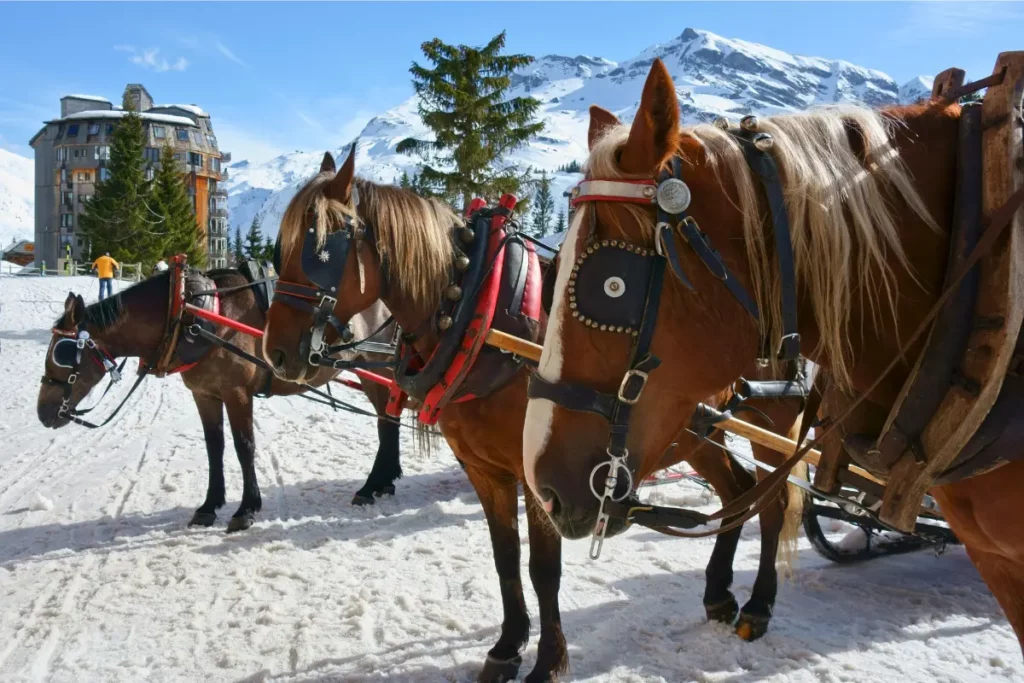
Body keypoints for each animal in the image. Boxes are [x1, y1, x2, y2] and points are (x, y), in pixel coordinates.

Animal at [37, 266, 403, 532]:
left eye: (63, 352)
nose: (43, 412)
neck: (191, 315)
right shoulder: (205, 394)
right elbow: (215, 447)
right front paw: (209, 506)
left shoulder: (237, 393)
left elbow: (244, 446)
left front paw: (247, 508)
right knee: (390, 420)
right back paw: (386, 480)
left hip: (376, 367)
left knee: (387, 422)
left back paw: (371, 485)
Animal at [260, 147, 811, 679]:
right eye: (280, 247)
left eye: (320, 249)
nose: (276, 353)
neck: (480, 320)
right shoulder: (485, 469)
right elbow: (506, 558)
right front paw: (507, 647)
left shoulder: (542, 478)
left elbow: (544, 570)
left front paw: (548, 661)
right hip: (694, 435)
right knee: (738, 490)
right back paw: (718, 594)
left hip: (772, 426)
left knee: (776, 502)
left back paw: (758, 605)